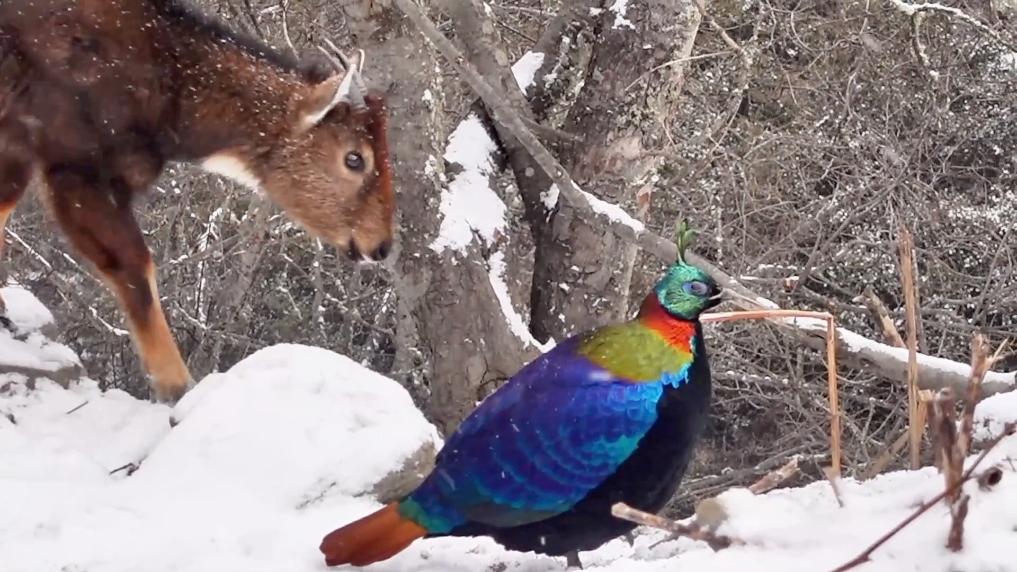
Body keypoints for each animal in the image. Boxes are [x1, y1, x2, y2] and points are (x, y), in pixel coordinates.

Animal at [0, 0, 396, 401]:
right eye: (354, 158)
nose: (380, 245)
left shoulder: (20, 148)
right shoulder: (77, 165)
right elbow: (135, 268)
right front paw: (177, 386)